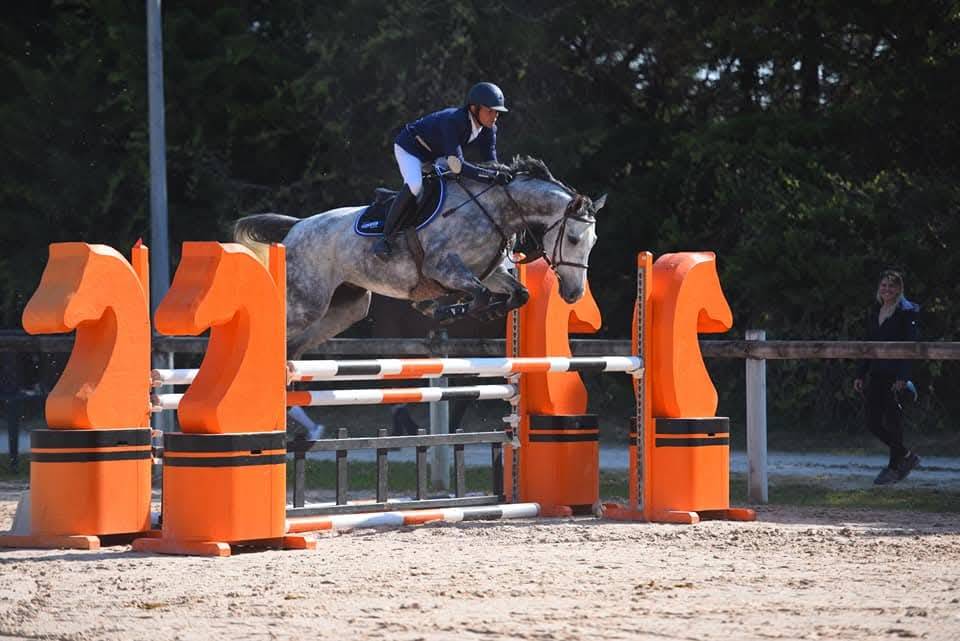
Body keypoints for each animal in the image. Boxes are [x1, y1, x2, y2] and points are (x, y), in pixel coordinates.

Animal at [233, 156, 605, 358]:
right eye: (573, 238)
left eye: (593, 242)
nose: (574, 294)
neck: (497, 208)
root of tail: (296, 228)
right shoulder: (443, 267)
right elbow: (476, 295)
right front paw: (440, 309)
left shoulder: (490, 272)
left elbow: (519, 293)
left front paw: (486, 310)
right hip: (305, 303)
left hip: (347, 307)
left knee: (295, 346)